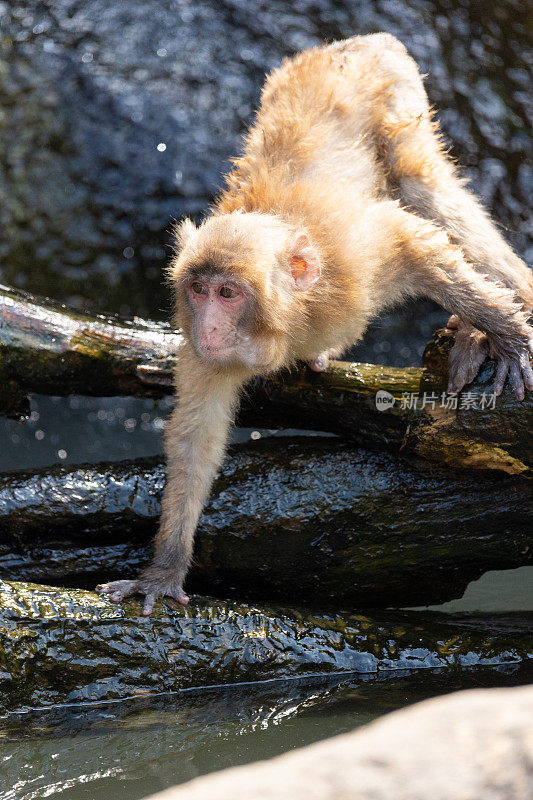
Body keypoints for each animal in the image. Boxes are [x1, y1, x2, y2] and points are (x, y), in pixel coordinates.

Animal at [95, 32, 532, 612]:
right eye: (199, 291)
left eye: (228, 294)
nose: (208, 326)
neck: (286, 324)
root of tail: (354, 42)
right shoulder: (205, 356)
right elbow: (196, 437)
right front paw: (165, 570)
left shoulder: (354, 265)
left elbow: (412, 239)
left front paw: (507, 334)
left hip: (390, 84)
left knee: (422, 185)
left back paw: (490, 322)